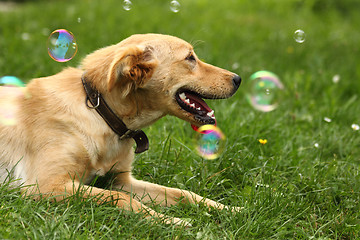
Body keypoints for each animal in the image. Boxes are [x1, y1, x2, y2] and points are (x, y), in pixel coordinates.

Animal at [1, 33, 242, 227]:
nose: (238, 79)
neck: (98, 110)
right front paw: (172, 221)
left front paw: (230, 209)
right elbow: (121, 199)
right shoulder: (46, 185)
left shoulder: (121, 181)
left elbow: (184, 193)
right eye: (190, 58)